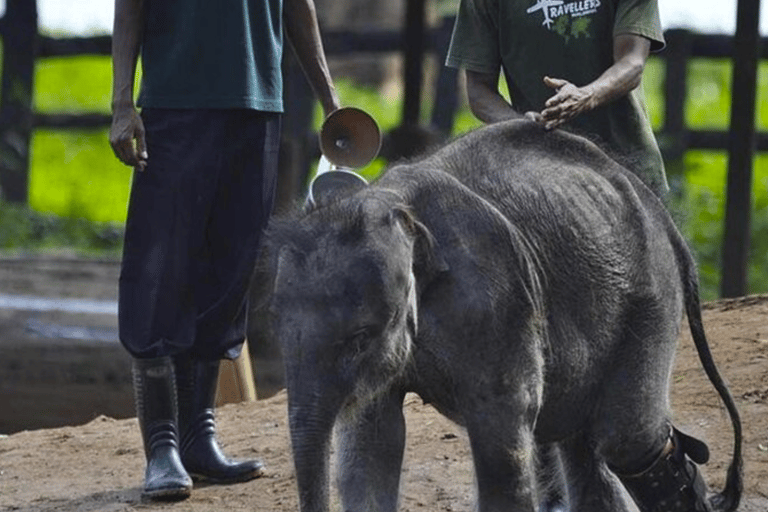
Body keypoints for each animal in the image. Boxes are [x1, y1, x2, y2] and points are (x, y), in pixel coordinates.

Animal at [260, 121, 740, 512]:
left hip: (650, 293)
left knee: (628, 438)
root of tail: (659, 209)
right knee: (583, 437)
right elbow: (372, 441)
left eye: (362, 335)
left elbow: (501, 433)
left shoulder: (497, 297)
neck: (398, 212)